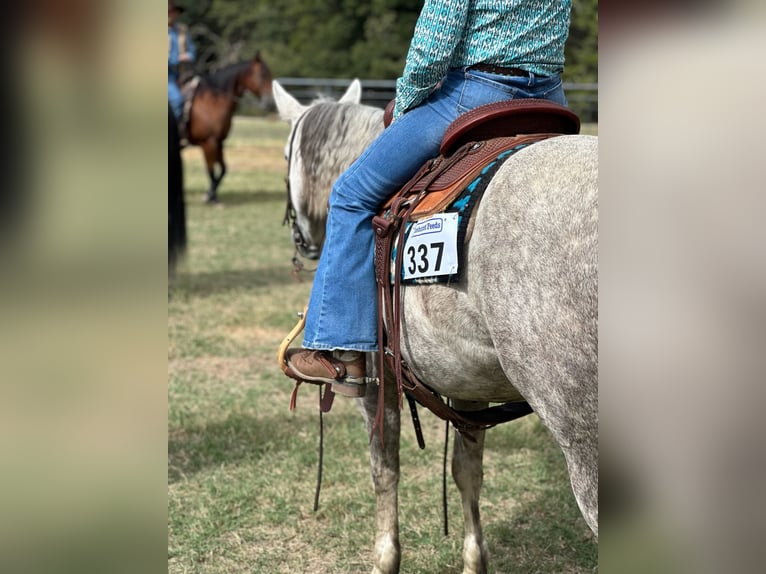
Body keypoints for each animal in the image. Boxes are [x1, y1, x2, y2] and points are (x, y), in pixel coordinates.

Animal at [184, 52, 272, 205]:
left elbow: (223, 169)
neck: (213, 103)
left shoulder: (219, 142)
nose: (270, 101)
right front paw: (210, 197)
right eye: (262, 74)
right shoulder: (208, 143)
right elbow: (211, 171)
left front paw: (211, 195)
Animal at [274, 81, 600, 574]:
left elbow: (384, 467)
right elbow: (466, 471)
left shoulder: (377, 381)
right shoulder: (469, 381)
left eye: (284, 156)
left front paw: (385, 560)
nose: (301, 241)